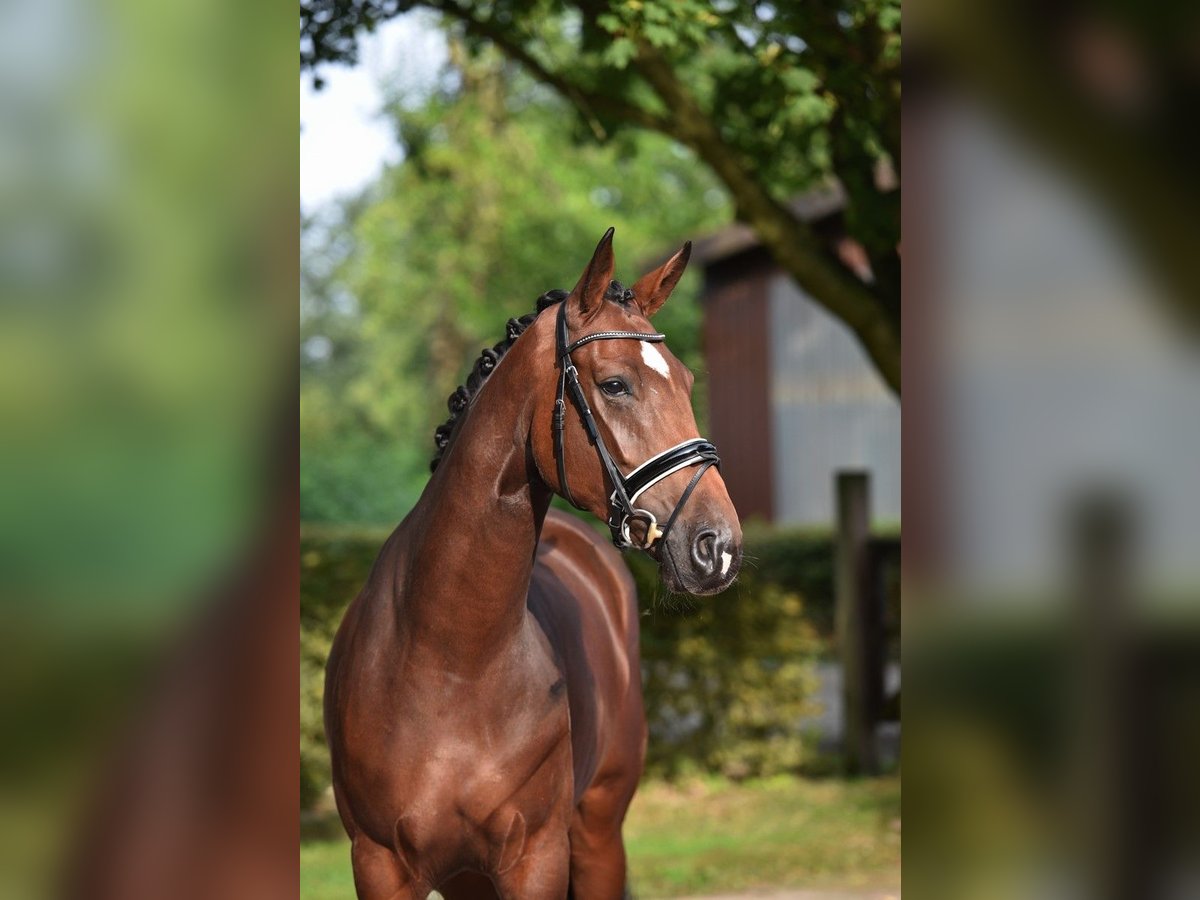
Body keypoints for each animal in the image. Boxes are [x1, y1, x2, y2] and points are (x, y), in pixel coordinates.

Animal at [326, 229, 739, 897]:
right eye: (615, 384)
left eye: (686, 379)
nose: (717, 545)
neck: (449, 661)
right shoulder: (379, 863)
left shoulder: (535, 858)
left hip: (597, 834)